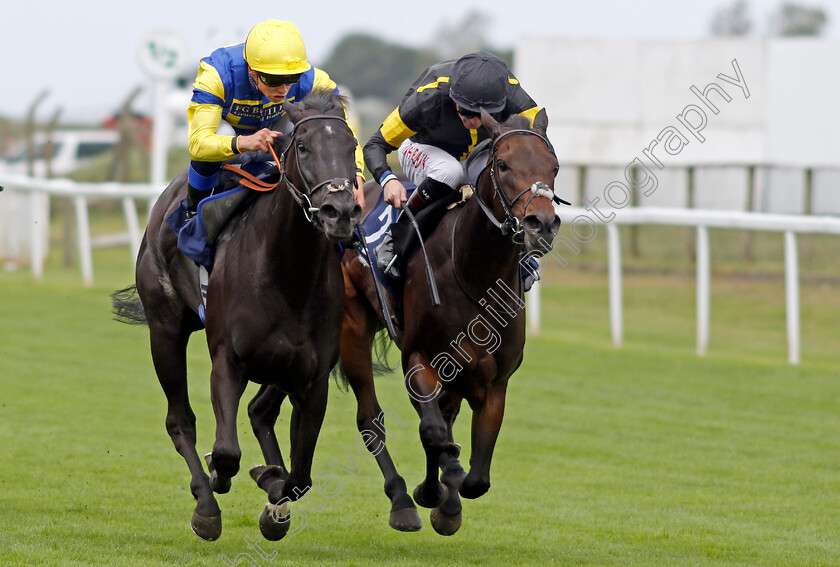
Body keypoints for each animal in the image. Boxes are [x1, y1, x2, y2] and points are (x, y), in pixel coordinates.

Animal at [112, 92, 360, 540]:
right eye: (302, 146)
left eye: (351, 148)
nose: (340, 211)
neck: (288, 276)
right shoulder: (228, 361)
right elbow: (226, 452)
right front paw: (217, 485)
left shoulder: (312, 379)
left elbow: (300, 477)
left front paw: (273, 492)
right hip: (165, 330)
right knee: (180, 420)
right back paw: (206, 501)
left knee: (260, 412)